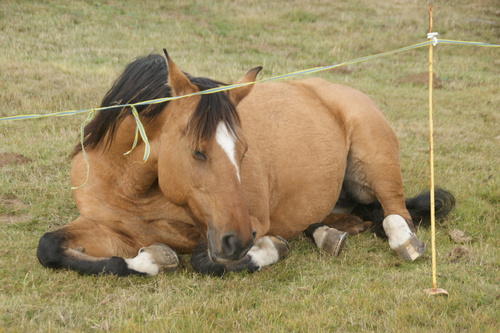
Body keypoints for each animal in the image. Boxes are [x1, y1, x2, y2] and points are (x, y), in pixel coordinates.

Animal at [37, 51, 456, 274]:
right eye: (198, 151)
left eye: (243, 151)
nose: (237, 238)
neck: (132, 190)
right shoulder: (108, 229)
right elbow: (50, 248)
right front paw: (151, 259)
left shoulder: (238, 226)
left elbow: (205, 261)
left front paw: (269, 249)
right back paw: (329, 233)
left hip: (376, 157)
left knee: (396, 213)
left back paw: (402, 241)